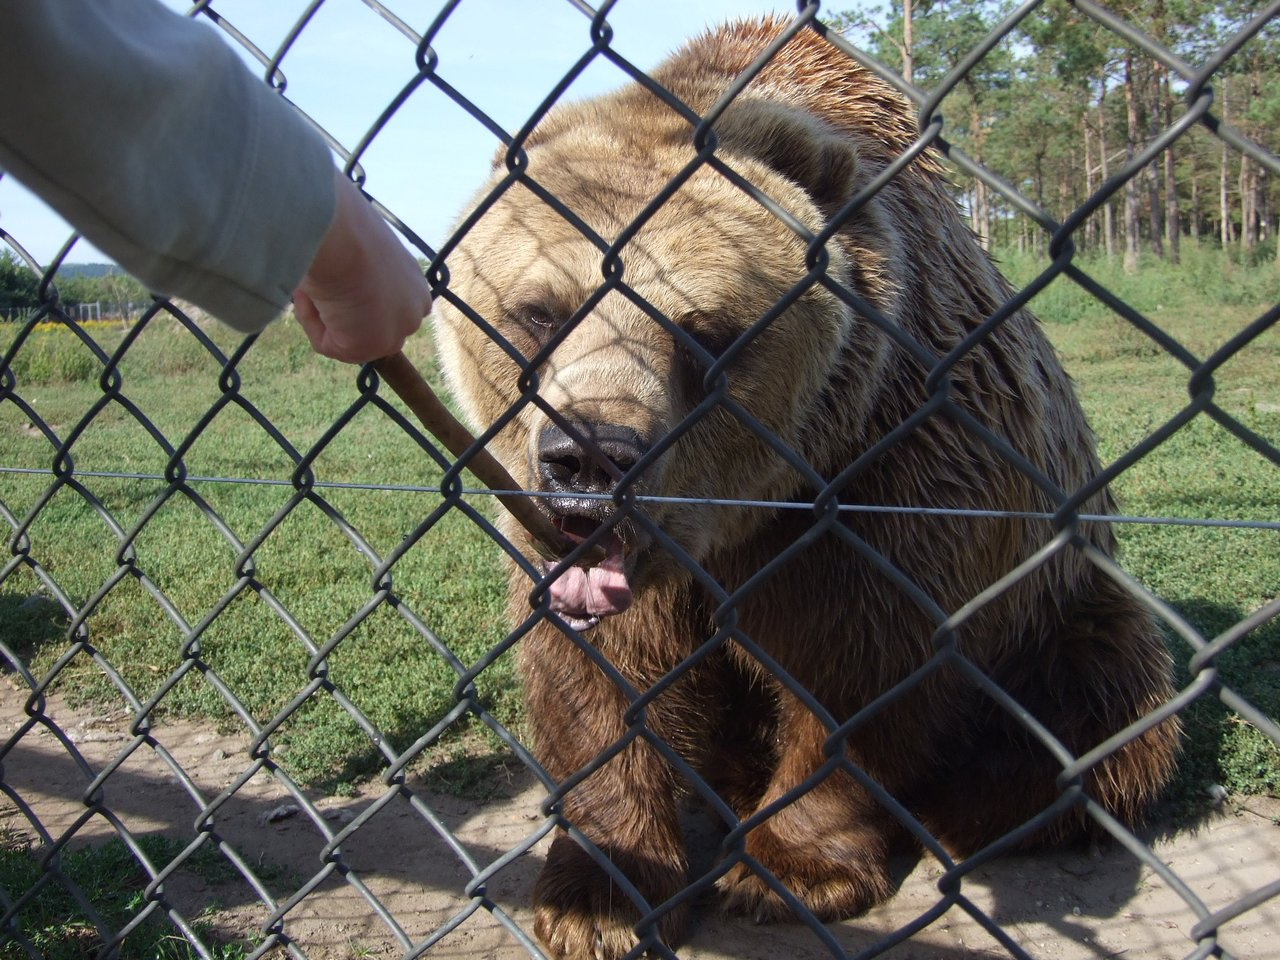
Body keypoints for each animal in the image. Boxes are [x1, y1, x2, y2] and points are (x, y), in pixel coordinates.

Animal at [432, 15, 1177, 960]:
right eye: (539, 312)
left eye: (702, 331)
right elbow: (603, 675)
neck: (740, 518)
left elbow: (856, 675)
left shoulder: (887, 478)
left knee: (1098, 711)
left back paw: (962, 810)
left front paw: (789, 871)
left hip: (1062, 605)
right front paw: (598, 893)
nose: (590, 457)